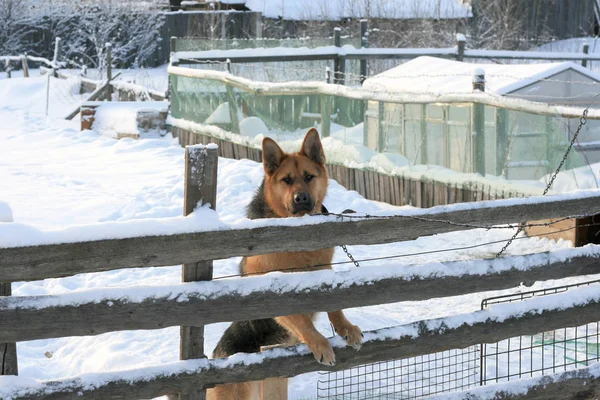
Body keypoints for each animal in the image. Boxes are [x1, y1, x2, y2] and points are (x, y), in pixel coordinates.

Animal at [207, 128, 360, 400]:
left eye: (309, 176)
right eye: (286, 180)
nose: (301, 198)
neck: (297, 229)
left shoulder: (323, 272)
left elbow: (335, 307)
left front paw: (346, 328)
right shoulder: (274, 293)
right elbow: (301, 319)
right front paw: (320, 343)